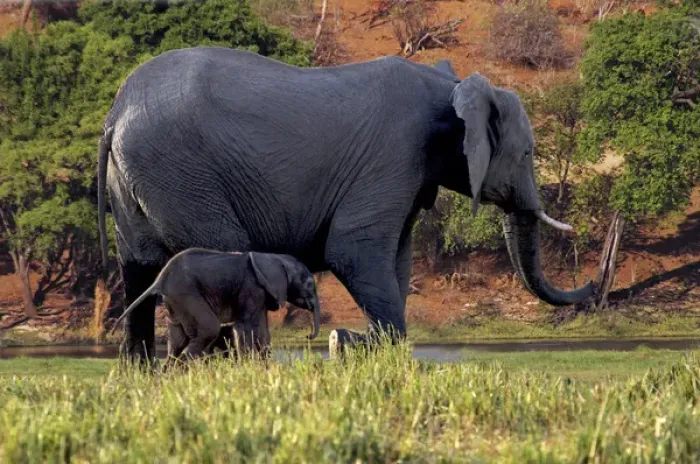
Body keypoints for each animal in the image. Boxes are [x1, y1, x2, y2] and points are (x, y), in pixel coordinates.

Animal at [109, 248, 321, 364]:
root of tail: (159, 280)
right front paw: (248, 367)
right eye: (309, 284)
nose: (308, 336)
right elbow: (245, 326)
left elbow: (262, 331)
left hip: (175, 303)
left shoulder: (261, 292)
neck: (274, 258)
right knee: (207, 330)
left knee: (177, 341)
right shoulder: (251, 287)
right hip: (187, 295)